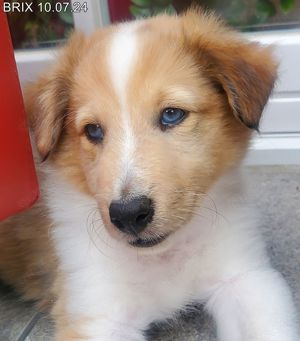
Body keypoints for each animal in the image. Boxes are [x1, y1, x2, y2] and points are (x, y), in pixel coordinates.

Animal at [0, 8, 298, 340]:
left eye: (172, 114)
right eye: (93, 130)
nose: (128, 214)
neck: (163, 256)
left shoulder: (244, 278)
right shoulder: (97, 313)